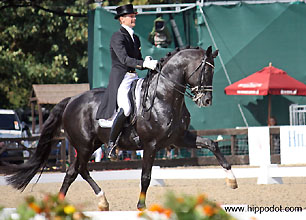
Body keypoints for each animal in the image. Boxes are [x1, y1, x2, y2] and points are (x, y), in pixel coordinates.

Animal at [1, 45, 238, 211]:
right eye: (205, 71)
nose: (206, 100)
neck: (165, 96)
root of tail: (71, 100)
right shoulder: (151, 144)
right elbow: (146, 176)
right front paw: (141, 206)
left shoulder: (179, 138)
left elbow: (212, 144)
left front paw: (231, 180)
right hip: (84, 145)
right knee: (78, 170)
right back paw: (93, 200)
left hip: (91, 144)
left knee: (75, 171)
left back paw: (83, 202)